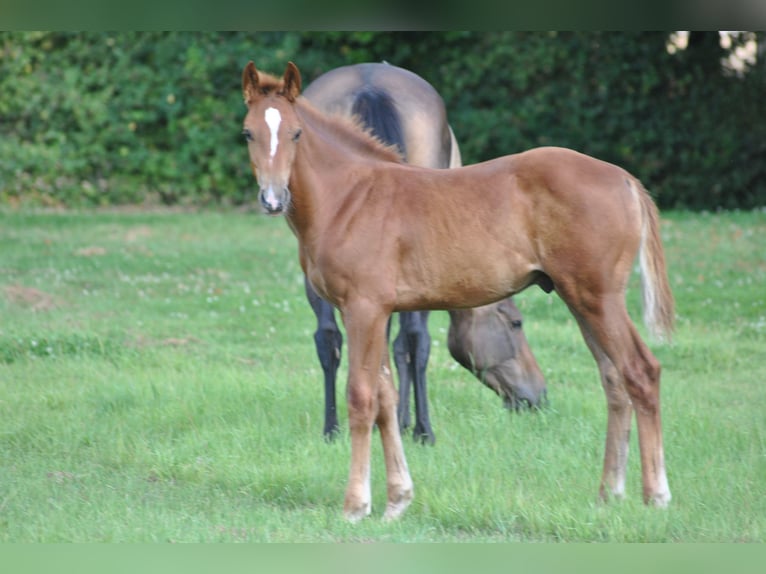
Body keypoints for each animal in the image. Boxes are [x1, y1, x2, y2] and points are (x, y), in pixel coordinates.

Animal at [301, 62, 547, 443]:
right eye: (516, 323)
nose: (539, 396)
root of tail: (369, 85)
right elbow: (408, 342)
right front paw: (404, 422)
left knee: (328, 338)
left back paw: (332, 428)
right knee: (415, 340)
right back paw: (422, 429)